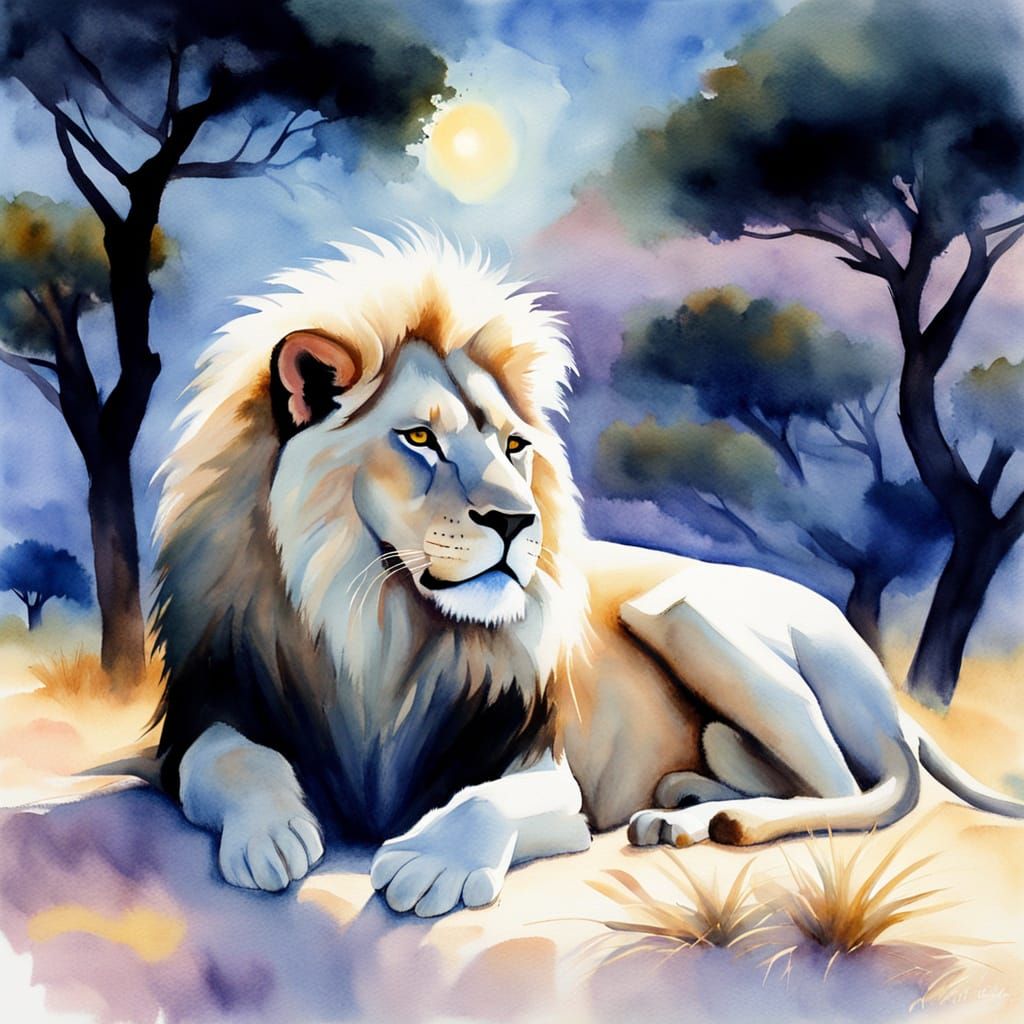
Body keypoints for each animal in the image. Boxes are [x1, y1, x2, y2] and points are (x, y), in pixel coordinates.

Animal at [153, 229, 1023, 918]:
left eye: (513, 447)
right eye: (419, 439)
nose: (515, 522)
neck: (375, 628)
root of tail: (890, 702)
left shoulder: (543, 765)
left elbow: (492, 800)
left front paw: (429, 864)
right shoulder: (204, 708)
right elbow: (226, 756)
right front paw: (271, 836)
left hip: (682, 611)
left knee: (859, 789)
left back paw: (717, 823)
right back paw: (680, 808)